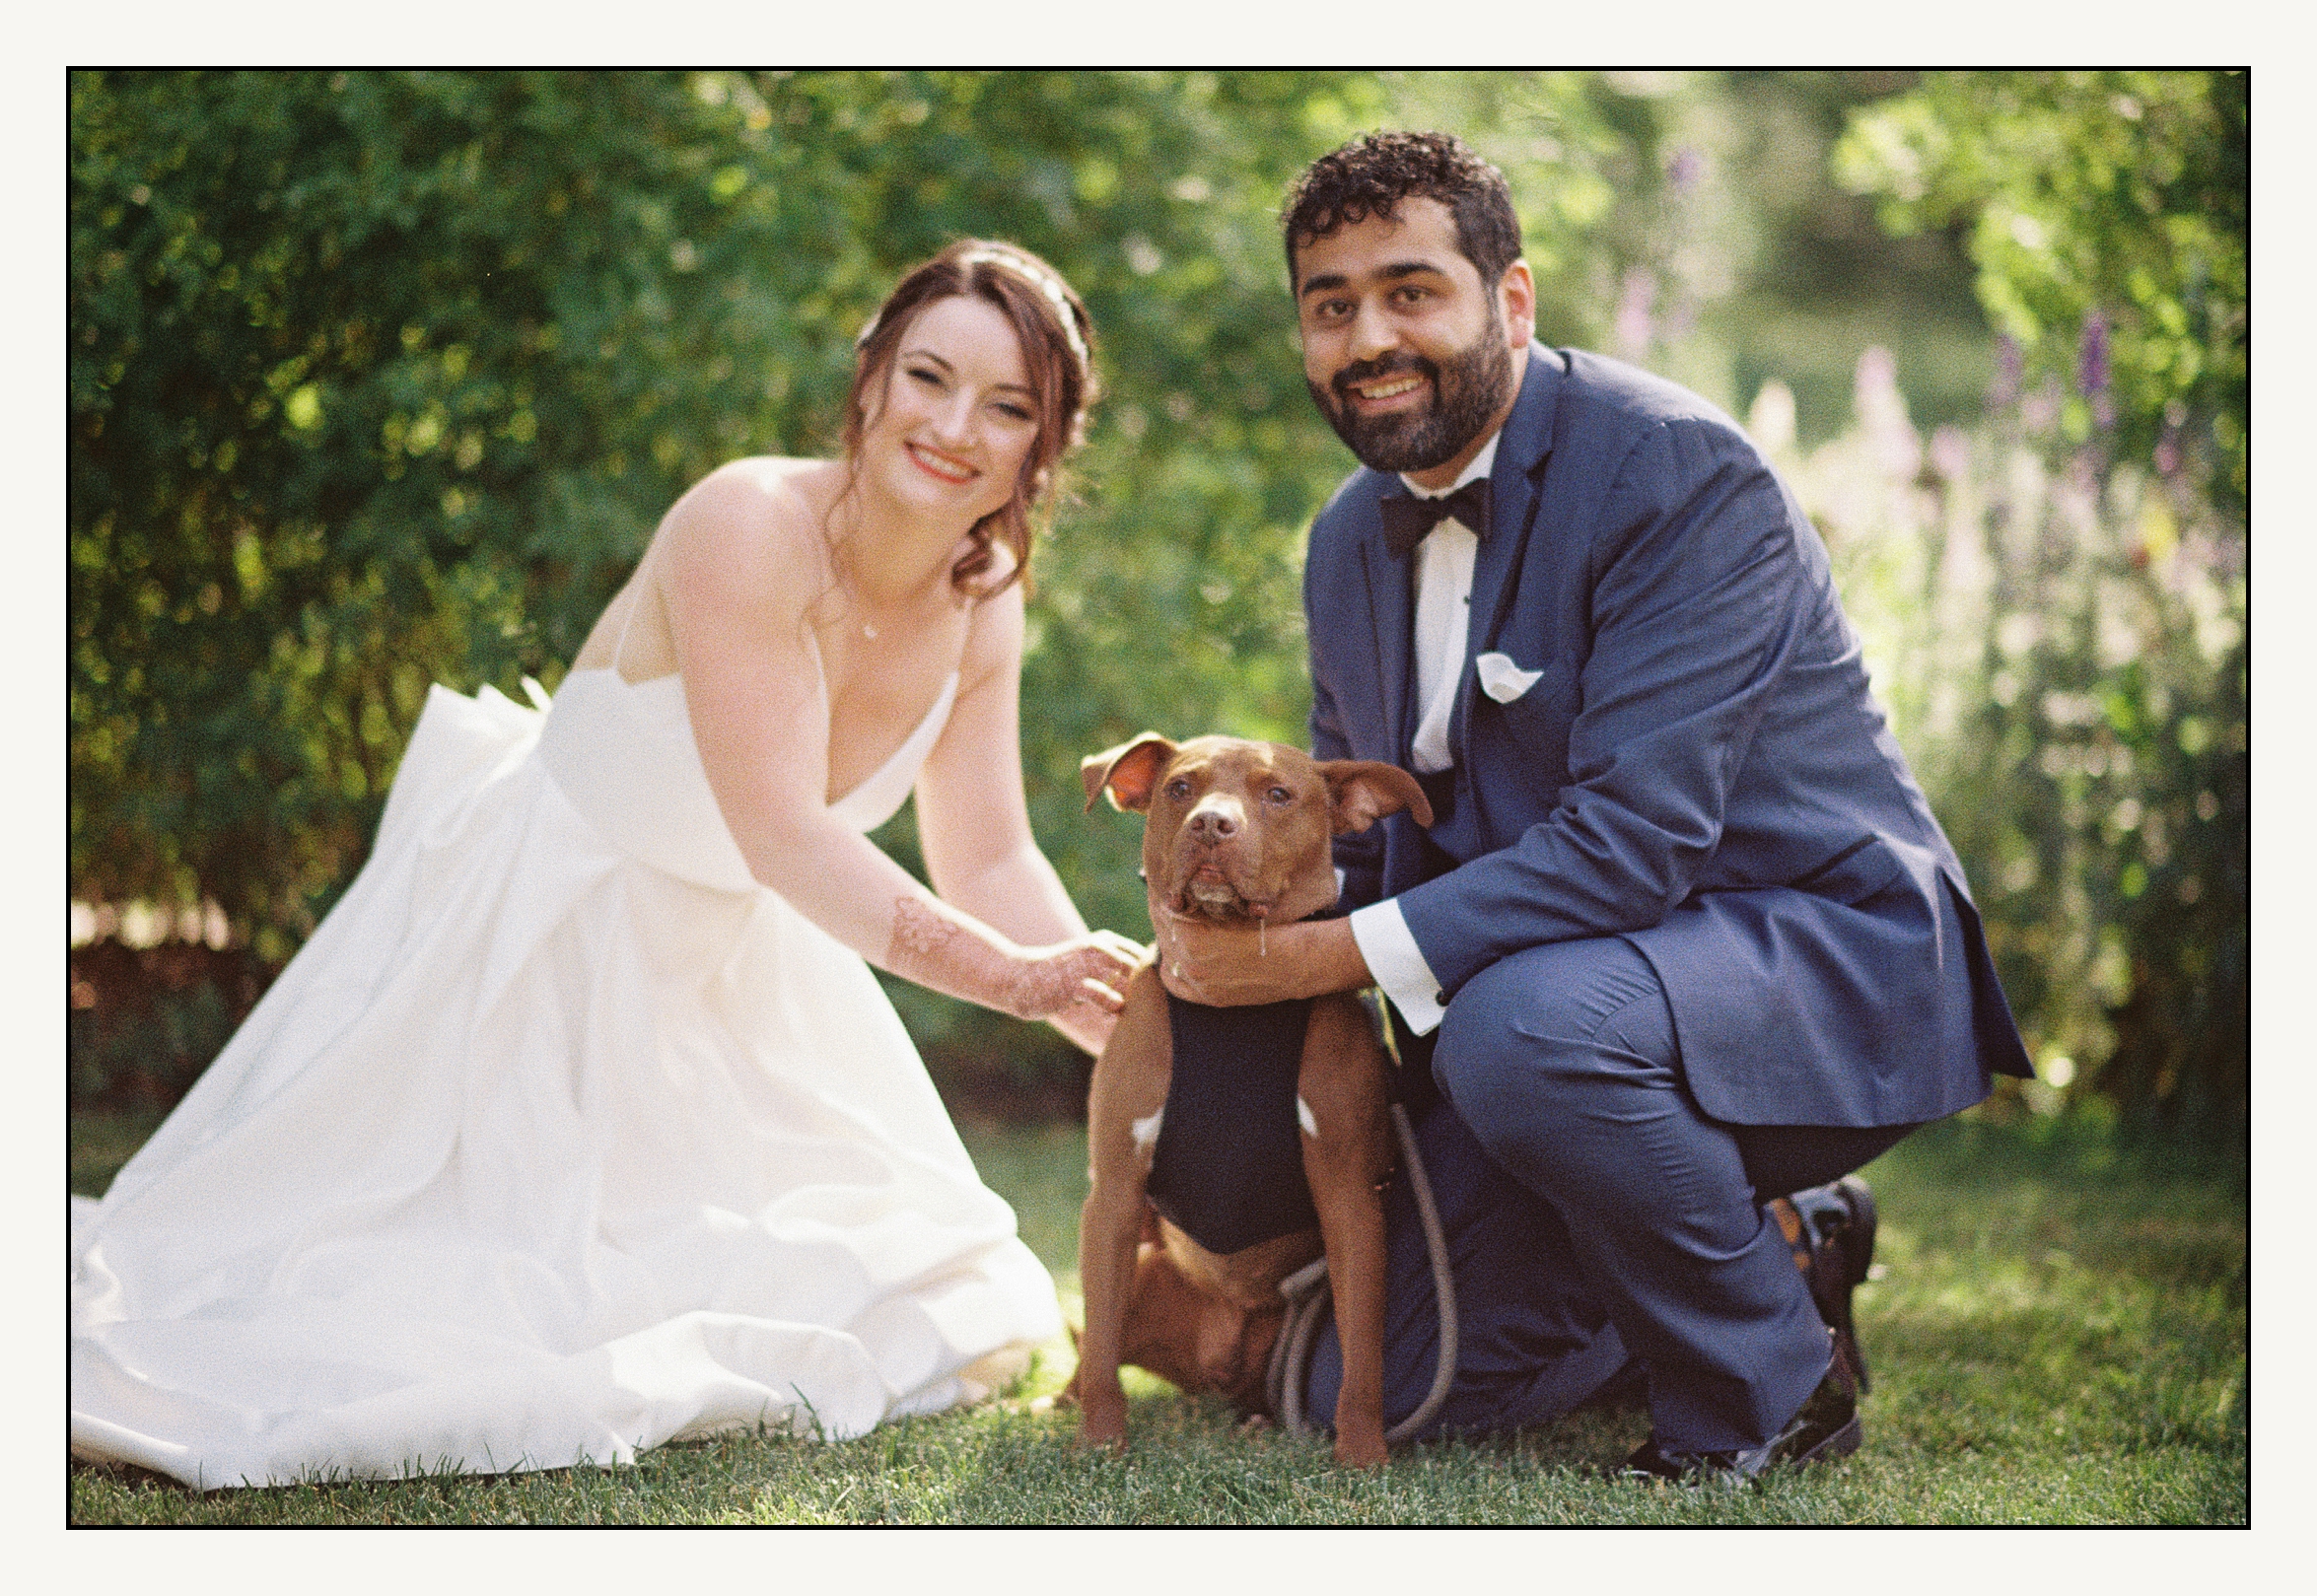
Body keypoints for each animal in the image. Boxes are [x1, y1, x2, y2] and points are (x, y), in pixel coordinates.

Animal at [1070, 731, 1427, 1454]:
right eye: (1180, 788)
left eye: (1278, 794)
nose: (1211, 823)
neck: (1234, 1009)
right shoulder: (1114, 1193)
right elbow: (1100, 1349)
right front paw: (1099, 1444)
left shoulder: (1351, 1200)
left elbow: (1363, 1357)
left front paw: (1362, 1455)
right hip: (1144, 1268)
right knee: (1092, 1340)